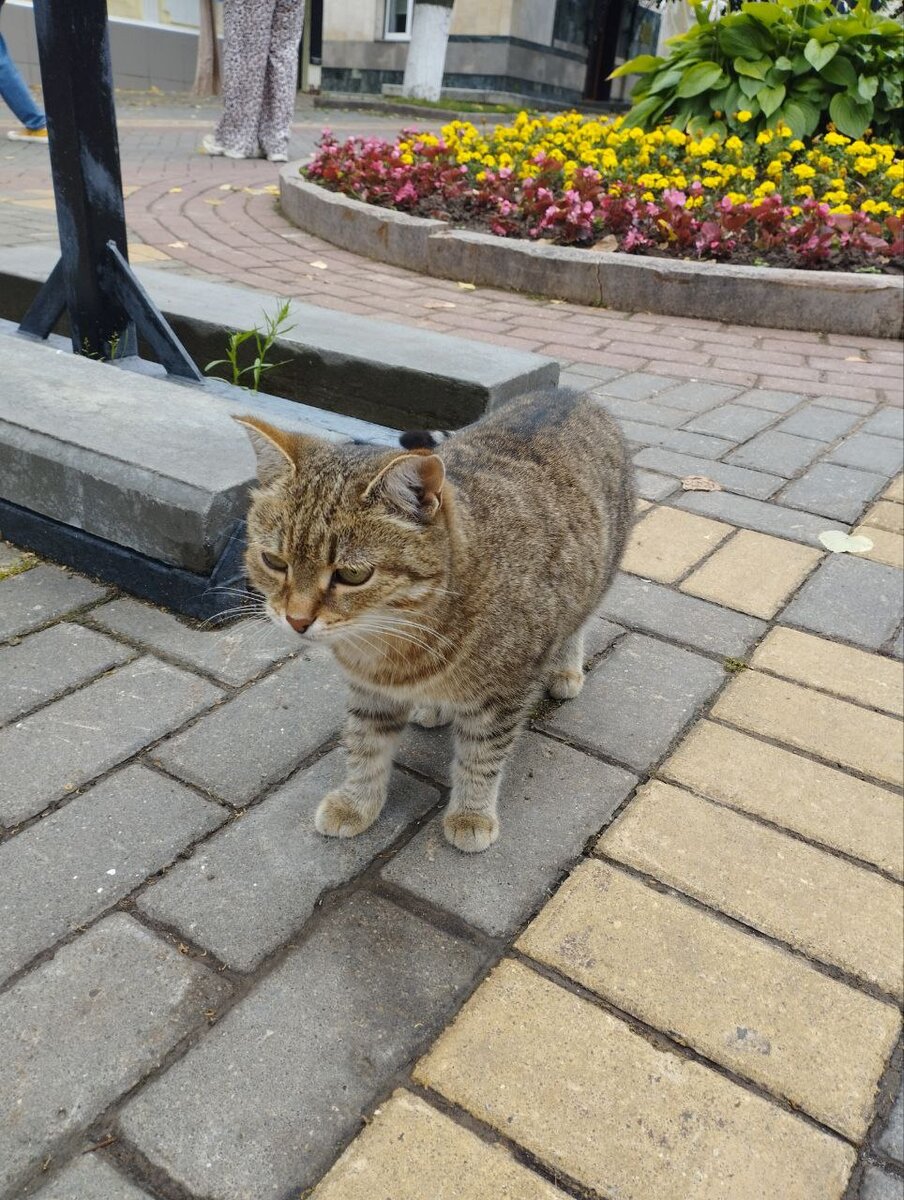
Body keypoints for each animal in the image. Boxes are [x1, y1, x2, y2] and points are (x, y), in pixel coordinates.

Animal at [240, 391, 633, 854]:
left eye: (352, 575)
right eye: (274, 561)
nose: (296, 620)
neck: (397, 642)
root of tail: (570, 393)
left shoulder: (503, 693)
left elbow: (481, 757)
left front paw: (471, 813)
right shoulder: (370, 690)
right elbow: (365, 746)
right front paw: (357, 802)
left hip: (597, 578)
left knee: (577, 623)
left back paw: (566, 669)